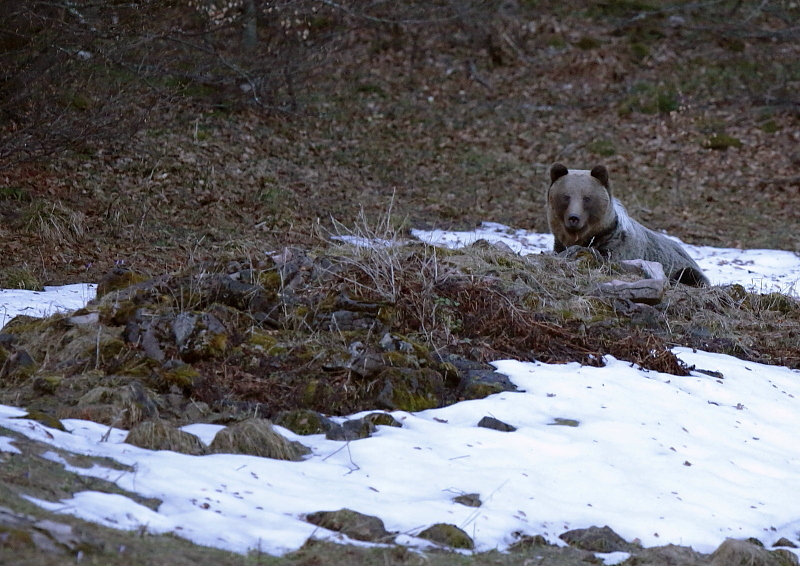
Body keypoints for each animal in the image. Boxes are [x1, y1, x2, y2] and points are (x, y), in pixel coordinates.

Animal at [548, 164, 708, 288]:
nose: (574, 218)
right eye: (566, 196)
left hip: (681, 266)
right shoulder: (560, 243)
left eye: (587, 198)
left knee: (689, 274)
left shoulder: (616, 245)